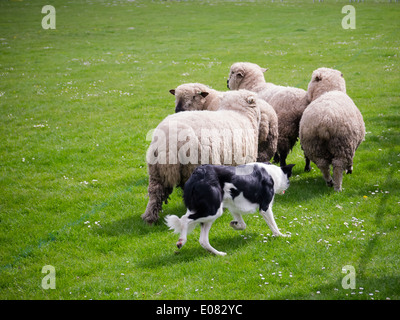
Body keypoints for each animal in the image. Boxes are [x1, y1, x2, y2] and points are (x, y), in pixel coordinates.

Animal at [165, 162, 294, 255]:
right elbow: (273, 225)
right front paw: (281, 236)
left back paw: (219, 254)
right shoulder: (265, 207)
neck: (272, 173)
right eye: (288, 180)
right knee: (184, 219)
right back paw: (181, 241)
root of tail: (198, 173)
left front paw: (234, 224)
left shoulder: (233, 206)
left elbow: (243, 225)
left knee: (203, 240)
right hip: (212, 210)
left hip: (210, 213)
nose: (287, 187)